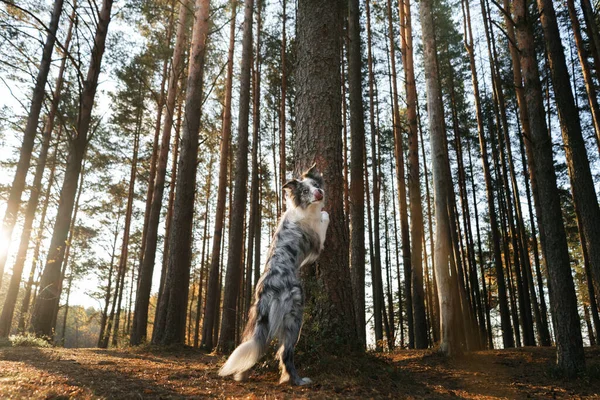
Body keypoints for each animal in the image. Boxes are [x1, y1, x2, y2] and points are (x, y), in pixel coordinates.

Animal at [218, 162, 328, 384]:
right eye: (305, 191)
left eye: (315, 185)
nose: (319, 193)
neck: (303, 208)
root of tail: (266, 291)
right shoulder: (316, 240)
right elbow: (325, 216)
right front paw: (326, 213)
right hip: (295, 315)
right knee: (285, 352)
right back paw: (297, 380)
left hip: (258, 322)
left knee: (255, 346)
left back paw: (241, 375)